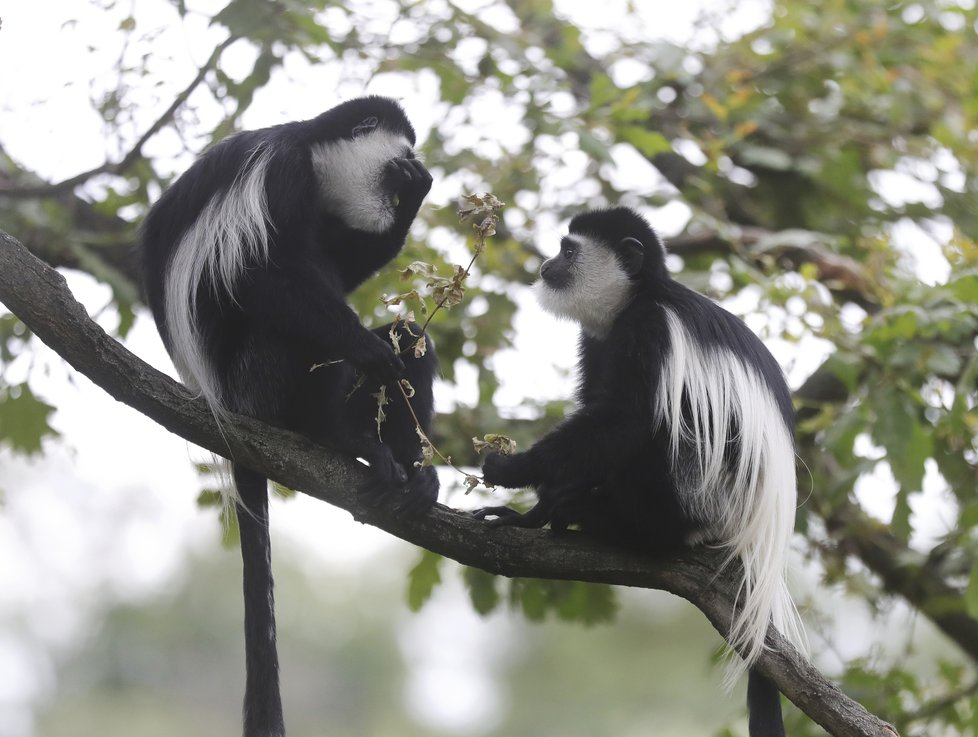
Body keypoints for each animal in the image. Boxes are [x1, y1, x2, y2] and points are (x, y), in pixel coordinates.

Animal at [141, 96, 438, 736]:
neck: (310, 149)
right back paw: (345, 436)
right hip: (259, 383)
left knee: (411, 341)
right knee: (284, 317)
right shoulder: (281, 175)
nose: (411, 173)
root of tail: (224, 409)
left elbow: (344, 268)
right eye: (396, 161)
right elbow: (258, 273)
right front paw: (365, 348)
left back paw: (412, 470)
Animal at [476, 206, 804, 736]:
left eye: (567, 251)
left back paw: (613, 519)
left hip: (701, 494)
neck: (636, 298)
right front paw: (529, 512)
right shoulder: (597, 341)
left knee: (665, 435)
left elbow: (624, 420)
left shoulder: (651, 330)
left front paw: (513, 468)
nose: (546, 264)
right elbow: (595, 421)